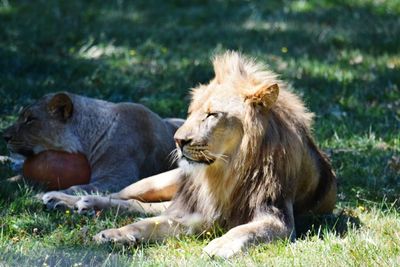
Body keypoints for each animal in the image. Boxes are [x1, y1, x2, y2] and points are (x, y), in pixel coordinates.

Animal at [61, 51, 338, 258]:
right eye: (192, 112)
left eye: (212, 114)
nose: (178, 140)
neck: (227, 172)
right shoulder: (195, 213)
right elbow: (149, 223)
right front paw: (114, 234)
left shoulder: (277, 218)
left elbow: (246, 230)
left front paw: (220, 244)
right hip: (161, 181)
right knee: (122, 196)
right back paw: (69, 199)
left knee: (142, 206)